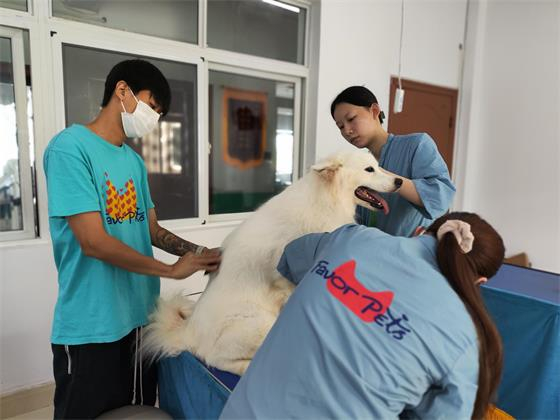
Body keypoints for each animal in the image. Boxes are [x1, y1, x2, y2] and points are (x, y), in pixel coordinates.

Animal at [142, 150, 402, 375]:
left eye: (378, 165)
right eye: (369, 169)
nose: (400, 181)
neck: (326, 198)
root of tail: (188, 333)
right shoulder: (287, 277)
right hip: (258, 324)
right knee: (215, 358)